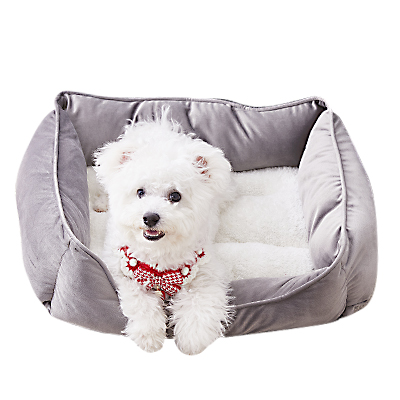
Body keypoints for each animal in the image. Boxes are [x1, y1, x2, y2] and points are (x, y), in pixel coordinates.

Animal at [93, 110, 233, 354]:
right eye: (140, 192)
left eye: (175, 196)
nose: (150, 217)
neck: (159, 253)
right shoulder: (123, 270)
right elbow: (140, 300)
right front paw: (148, 335)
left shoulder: (205, 270)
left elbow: (201, 300)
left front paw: (193, 337)